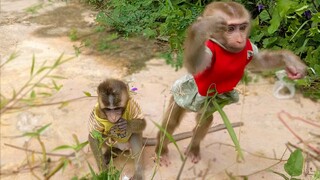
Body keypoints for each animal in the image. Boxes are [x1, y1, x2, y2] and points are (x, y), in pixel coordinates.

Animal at [155, 1, 308, 166]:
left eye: (242, 27)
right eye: (230, 29)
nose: (240, 39)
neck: (228, 49)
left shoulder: (249, 48)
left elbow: (260, 61)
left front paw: (290, 61)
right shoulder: (209, 54)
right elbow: (194, 65)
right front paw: (201, 27)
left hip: (208, 105)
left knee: (205, 120)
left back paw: (193, 148)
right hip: (182, 97)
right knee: (172, 121)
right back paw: (161, 149)